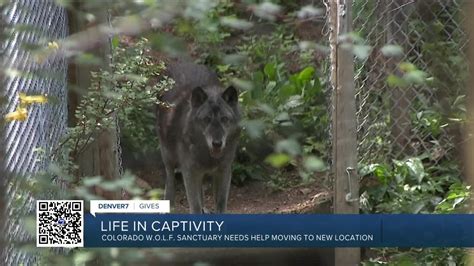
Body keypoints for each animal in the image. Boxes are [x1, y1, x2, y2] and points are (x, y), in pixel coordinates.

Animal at [156, 60, 241, 214]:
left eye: (224, 119)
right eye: (206, 119)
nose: (217, 143)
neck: (207, 156)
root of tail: (182, 62)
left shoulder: (224, 171)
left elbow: (220, 204)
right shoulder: (189, 172)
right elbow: (194, 205)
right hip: (168, 158)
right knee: (170, 183)